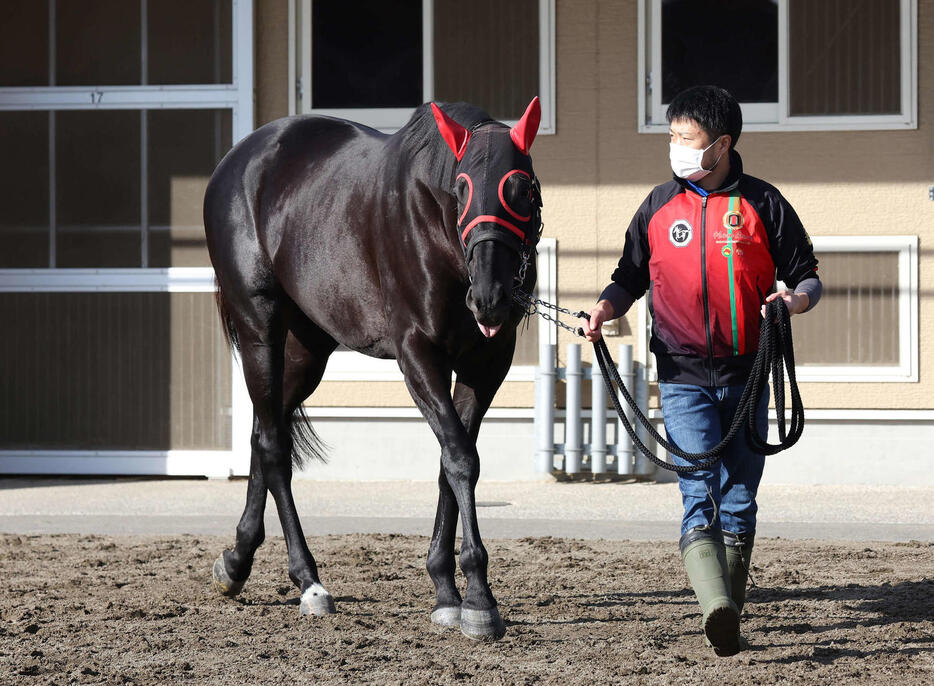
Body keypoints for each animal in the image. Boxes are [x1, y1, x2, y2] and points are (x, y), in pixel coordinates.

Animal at [203, 99, 540, 644]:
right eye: (461, 188)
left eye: (522, 188)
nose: (490, 299)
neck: (437, 235)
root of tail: (237, 161)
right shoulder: (417, 354)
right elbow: (461, 459)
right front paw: (479, 600)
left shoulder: (487, 364)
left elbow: (451, 461)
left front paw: (446, 589)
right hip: (260, 330)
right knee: (274, 447)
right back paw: (309, 582)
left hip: (308, 350)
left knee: (263, 431)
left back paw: (236, 561)